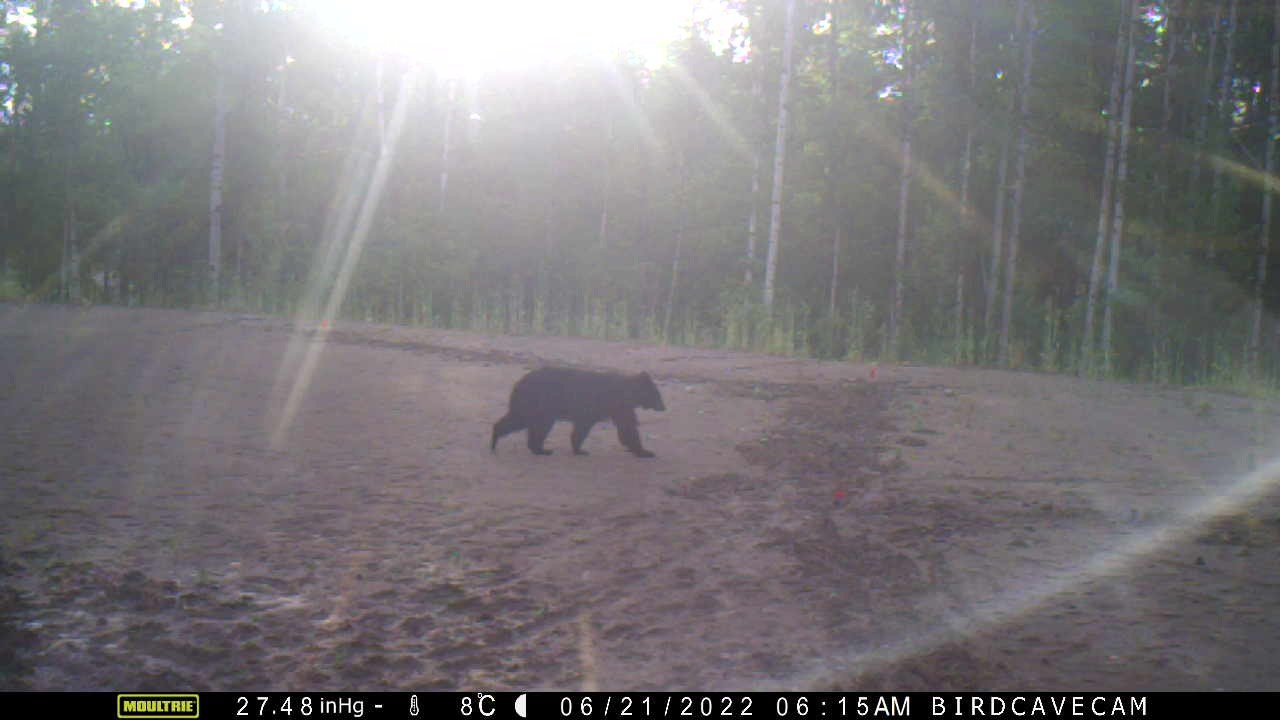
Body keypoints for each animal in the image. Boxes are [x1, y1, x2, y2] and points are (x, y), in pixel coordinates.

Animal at [491, 366, 665, 457]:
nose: (664, 407)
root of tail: (519, 383)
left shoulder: (598, 410)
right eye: (658, 395)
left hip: (533, 406)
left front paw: (579, 449)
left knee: (521, 421)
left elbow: (583, 428)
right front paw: (645, 451)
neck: (628, 392)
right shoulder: (618, 405)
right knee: (530, 423)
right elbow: (628, 427)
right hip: (538, 404)